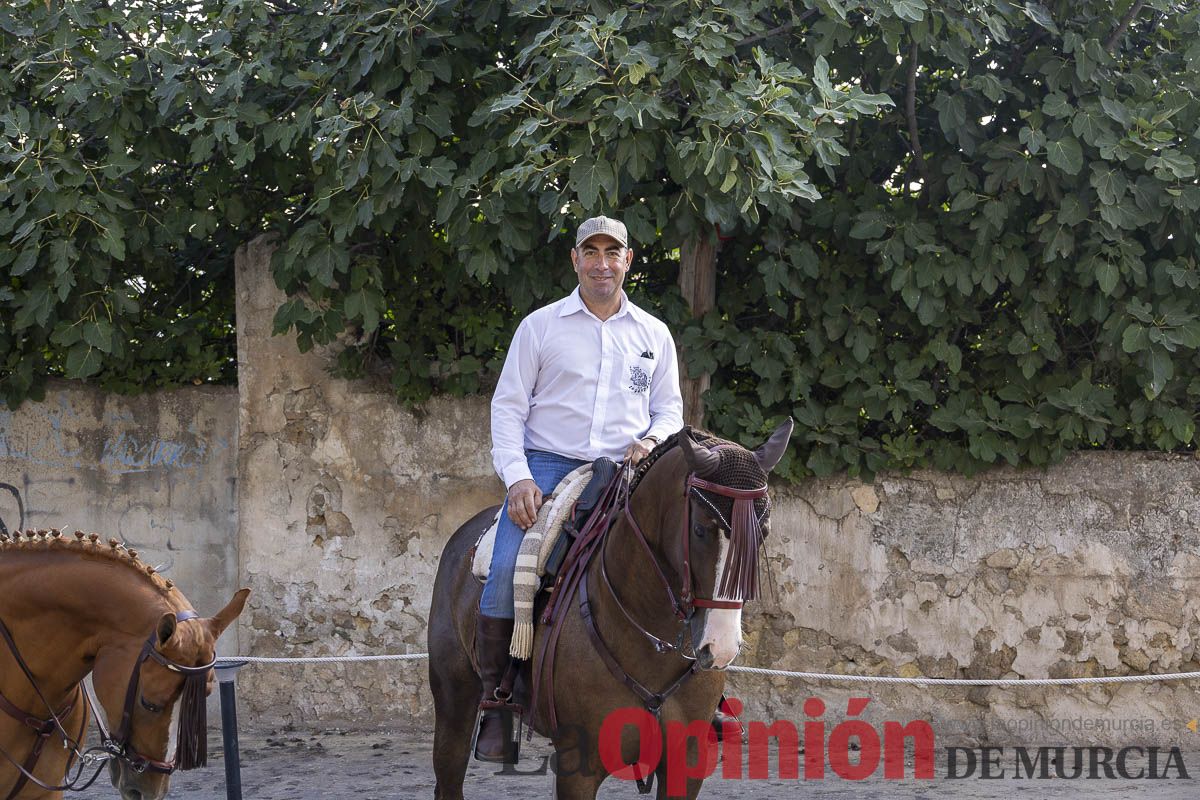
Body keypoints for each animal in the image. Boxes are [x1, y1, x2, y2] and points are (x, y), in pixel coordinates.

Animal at [429, 420, 792, 799]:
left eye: (762, 533)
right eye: (700, 529)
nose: (719, 647)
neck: (651, 641)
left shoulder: (685, 765)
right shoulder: (579, 768)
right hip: (454, 701)